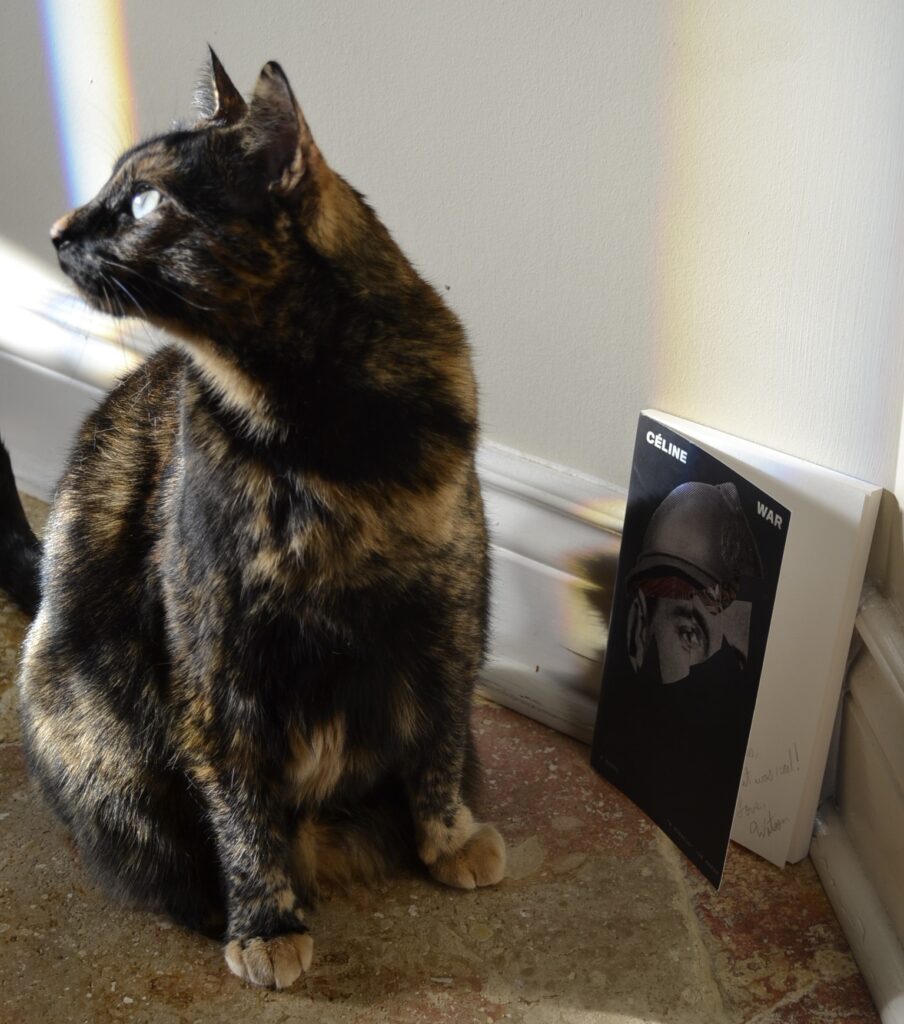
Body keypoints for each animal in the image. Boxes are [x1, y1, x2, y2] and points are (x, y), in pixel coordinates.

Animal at [0, 51, 505, 987]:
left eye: (145, 202)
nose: (53, 229)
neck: (316, 439)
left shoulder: (448, 616)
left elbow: (442, 737)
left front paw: (449, 838)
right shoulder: (219, 654)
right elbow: (238, 796)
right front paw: (265, 921)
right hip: (86, 719)